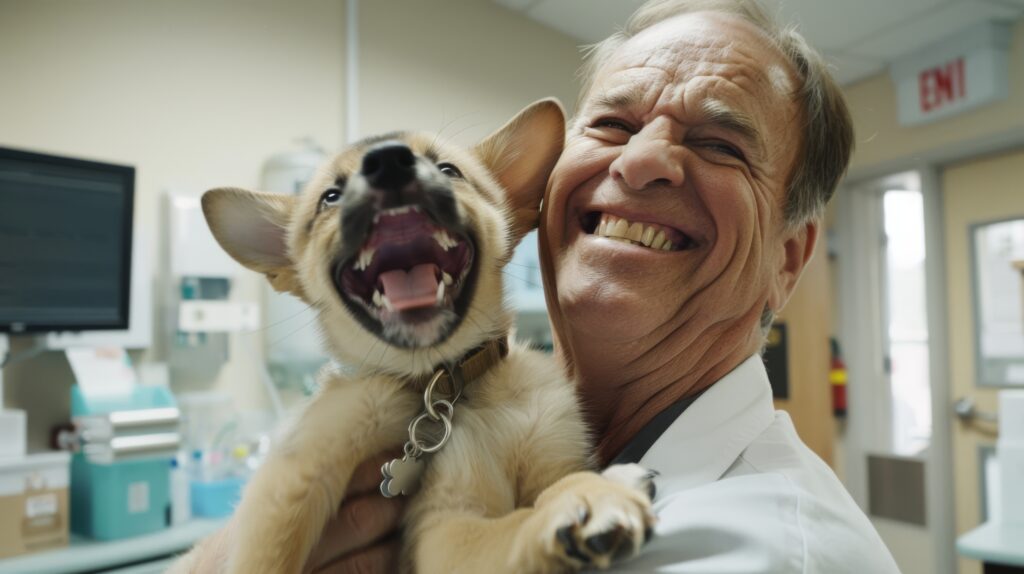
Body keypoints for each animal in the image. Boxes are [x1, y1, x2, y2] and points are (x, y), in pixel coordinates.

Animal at [174, 100, 655, 568]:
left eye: (448, 169)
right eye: (330, 196)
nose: (388, 161)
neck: (448, 388)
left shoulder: (526, 472)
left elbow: (547, 493)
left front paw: (589, 489)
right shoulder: (304, 475)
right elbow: (267, 556)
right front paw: (588, 498)